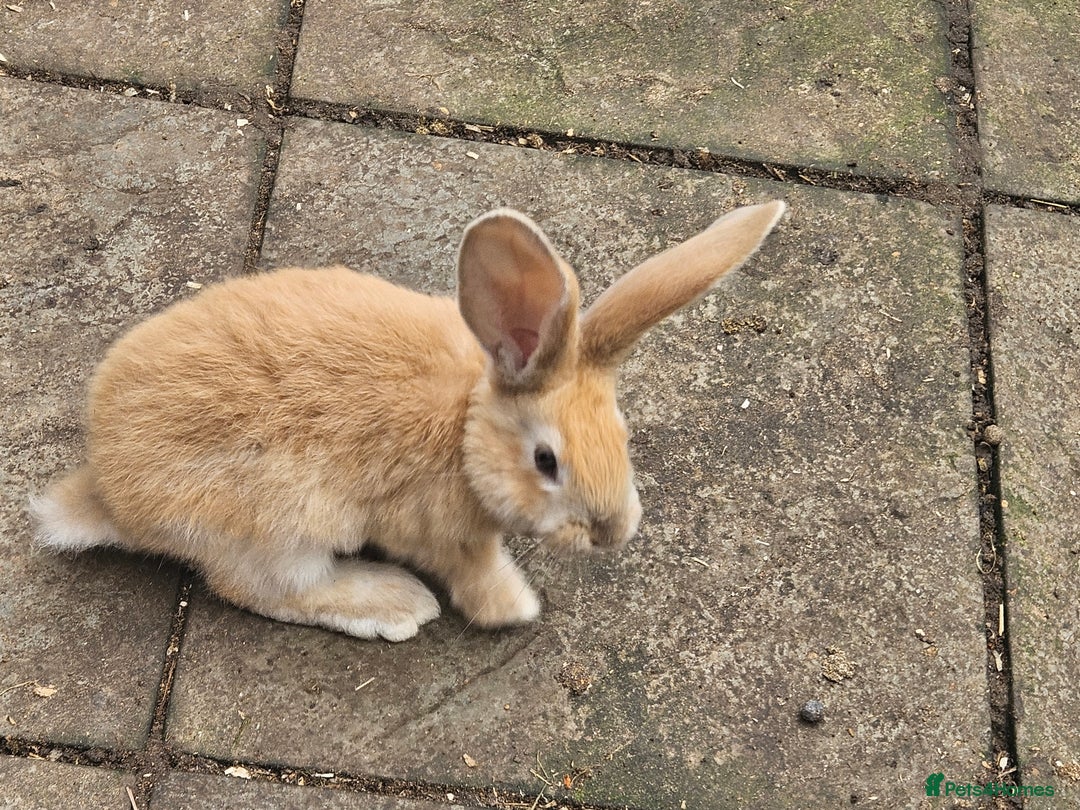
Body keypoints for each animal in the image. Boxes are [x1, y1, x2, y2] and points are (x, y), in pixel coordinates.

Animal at [30, 200, 786, 642]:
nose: (610, 533)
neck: (465, 425)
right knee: (267, 588)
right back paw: (394, 605)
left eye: (623, 436)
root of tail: (108, 494)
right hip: (277, 523)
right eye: (546, 461)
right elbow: (476, 574)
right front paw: (516, 609)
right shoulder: (446, 532)